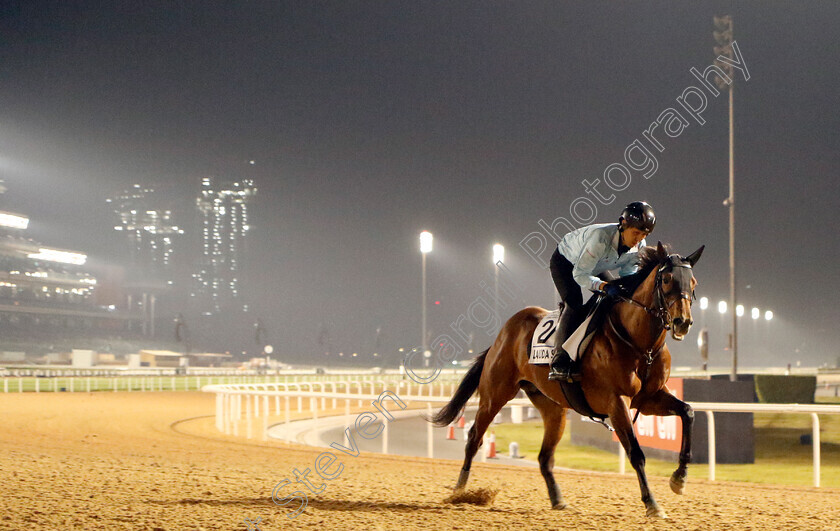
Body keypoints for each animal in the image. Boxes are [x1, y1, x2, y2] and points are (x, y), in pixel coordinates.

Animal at [434, 244, 704, 520]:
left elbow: (688, 412)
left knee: (544, 457)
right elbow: (636, 453)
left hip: (552, 407)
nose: (683, 322)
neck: (639, 343)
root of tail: (503, 333)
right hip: (495, 394)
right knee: (474, 438)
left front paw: (679, 478)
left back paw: (557, 499)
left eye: (692, 281)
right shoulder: (616, 402)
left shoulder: (649, 398)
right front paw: (652, 503)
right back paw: (459, 491)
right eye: (667, 279)